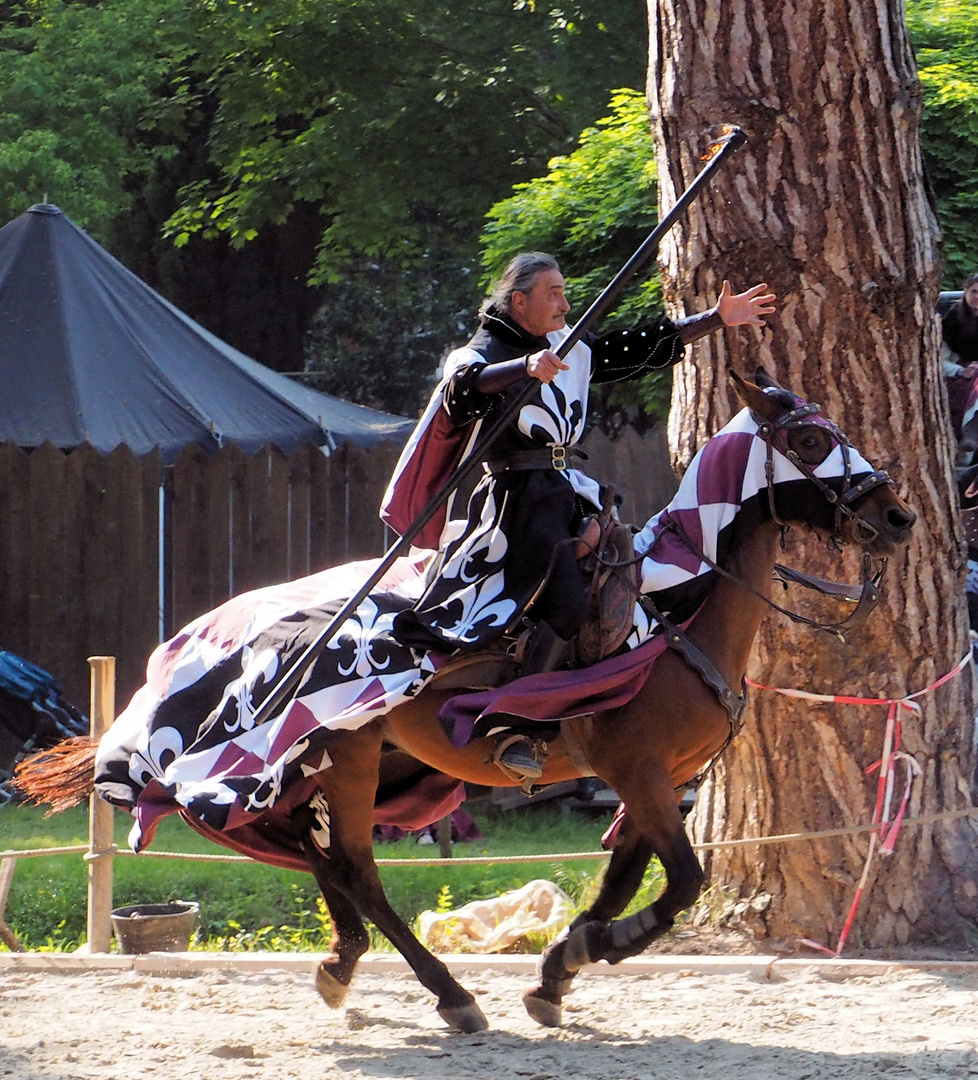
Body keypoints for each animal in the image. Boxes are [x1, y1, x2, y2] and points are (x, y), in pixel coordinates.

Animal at [15, 367, 915, 1032]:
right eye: (810, 439)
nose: (899, 516)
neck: (675, 616)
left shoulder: (657, 781)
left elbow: (623, 879)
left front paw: (560, 970)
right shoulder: (640, 772)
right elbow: (681, 884)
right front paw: (598, 948)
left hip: (358, 766)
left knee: (319, 855)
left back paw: (344, 962)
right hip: (346, 756)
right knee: (353, 865)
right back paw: (447, 993)